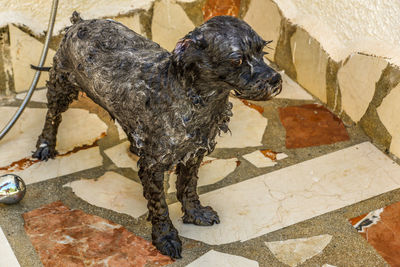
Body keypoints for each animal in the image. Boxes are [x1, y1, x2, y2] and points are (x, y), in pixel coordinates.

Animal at [33, 12, 282, 260]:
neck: (195, 100)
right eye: (237, 60)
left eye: (263, 51)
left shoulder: (194, 152)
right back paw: (45, 145)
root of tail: (79, 22)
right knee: (52, 116)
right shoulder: (152, 166)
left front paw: (196, 213)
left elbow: (188, 187)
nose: (276, 80)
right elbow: (159, 206)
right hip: (61, 83)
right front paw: (166, 237)